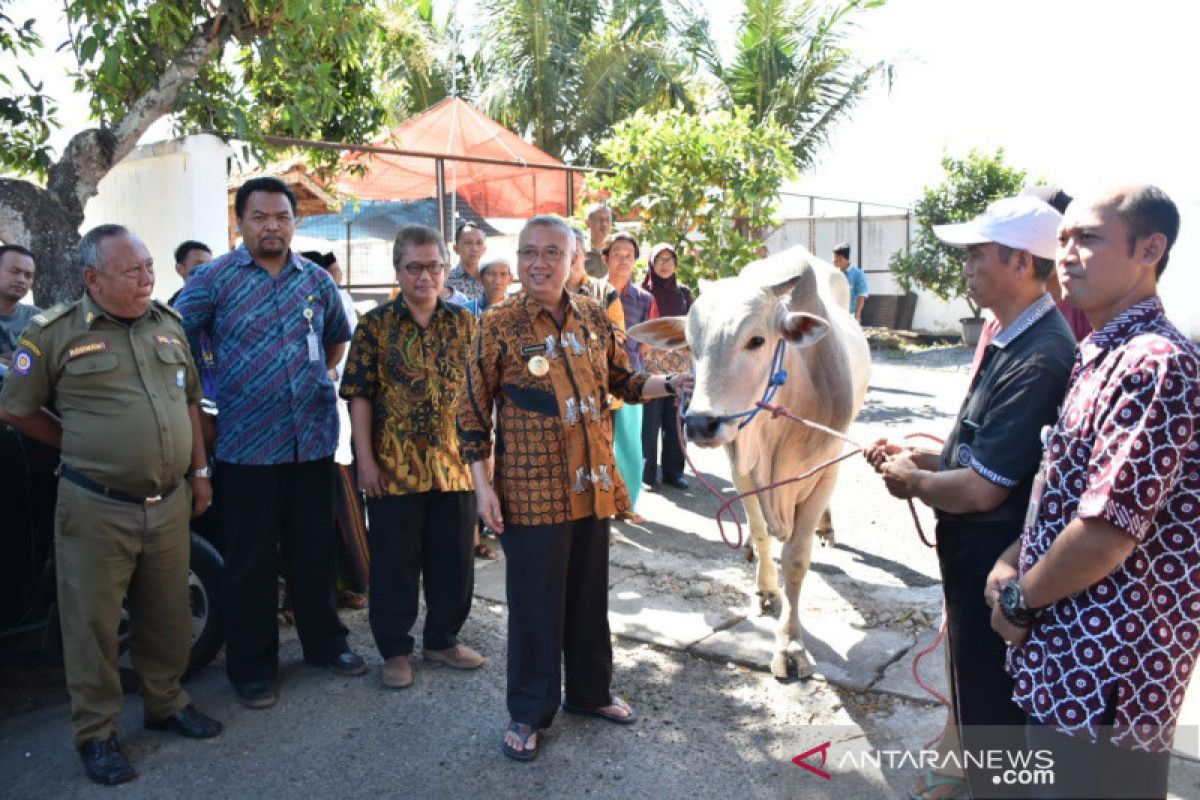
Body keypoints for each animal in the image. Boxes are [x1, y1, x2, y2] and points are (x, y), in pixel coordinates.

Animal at [628, 247, 873, 681]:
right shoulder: (741, 463)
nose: (699, 422)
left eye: (756, 340)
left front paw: (790, 644)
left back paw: (826, 527)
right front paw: (766, 590)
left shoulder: (825, 469)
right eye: (691, 345)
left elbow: (796, 558)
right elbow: (760, 533)